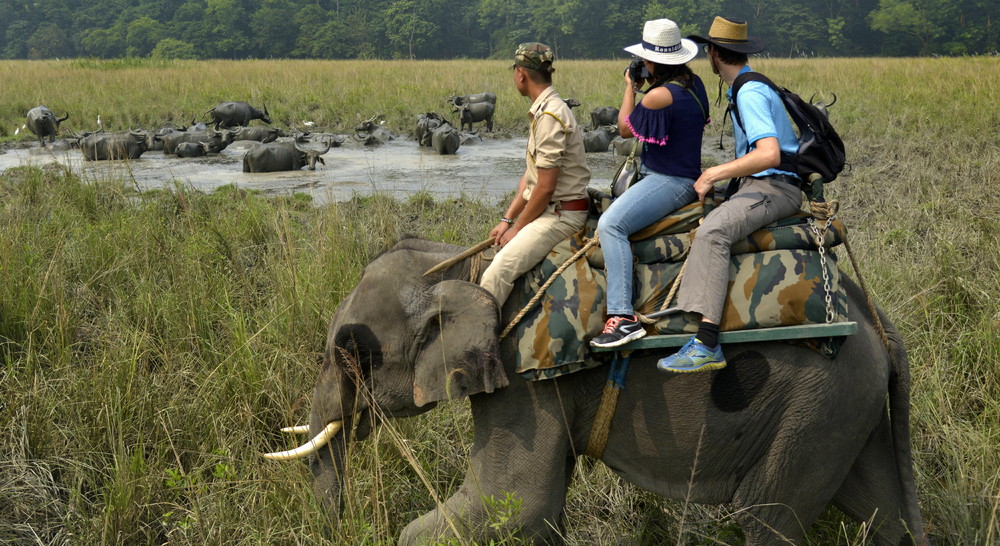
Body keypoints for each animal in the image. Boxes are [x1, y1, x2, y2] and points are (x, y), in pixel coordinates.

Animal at [266, 239, 920, 544]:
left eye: (350, 353)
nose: (344, 526)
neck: (466, 265)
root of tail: (880, 324)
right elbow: (539, 509)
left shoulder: (522, 384)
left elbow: (514, 502)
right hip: (844, 410)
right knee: (885, 512)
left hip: (816, 407)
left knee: (767, 521)